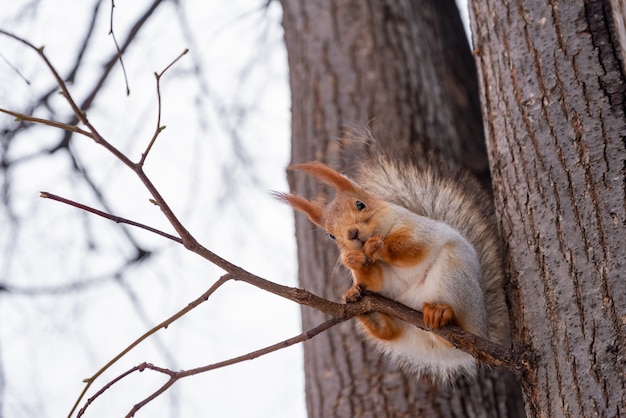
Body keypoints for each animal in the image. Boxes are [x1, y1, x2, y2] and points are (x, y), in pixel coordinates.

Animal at [276, 136, 508, 384]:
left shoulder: (418, 229)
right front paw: (353, 261)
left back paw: (441, 314)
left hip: (455, 277)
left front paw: (379, 246)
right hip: (399, 320)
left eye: (360, 204)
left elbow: (412, 248)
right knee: (388, 333)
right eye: (331, 235)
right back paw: (366, 310)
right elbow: (374, 281)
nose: (352, 234)